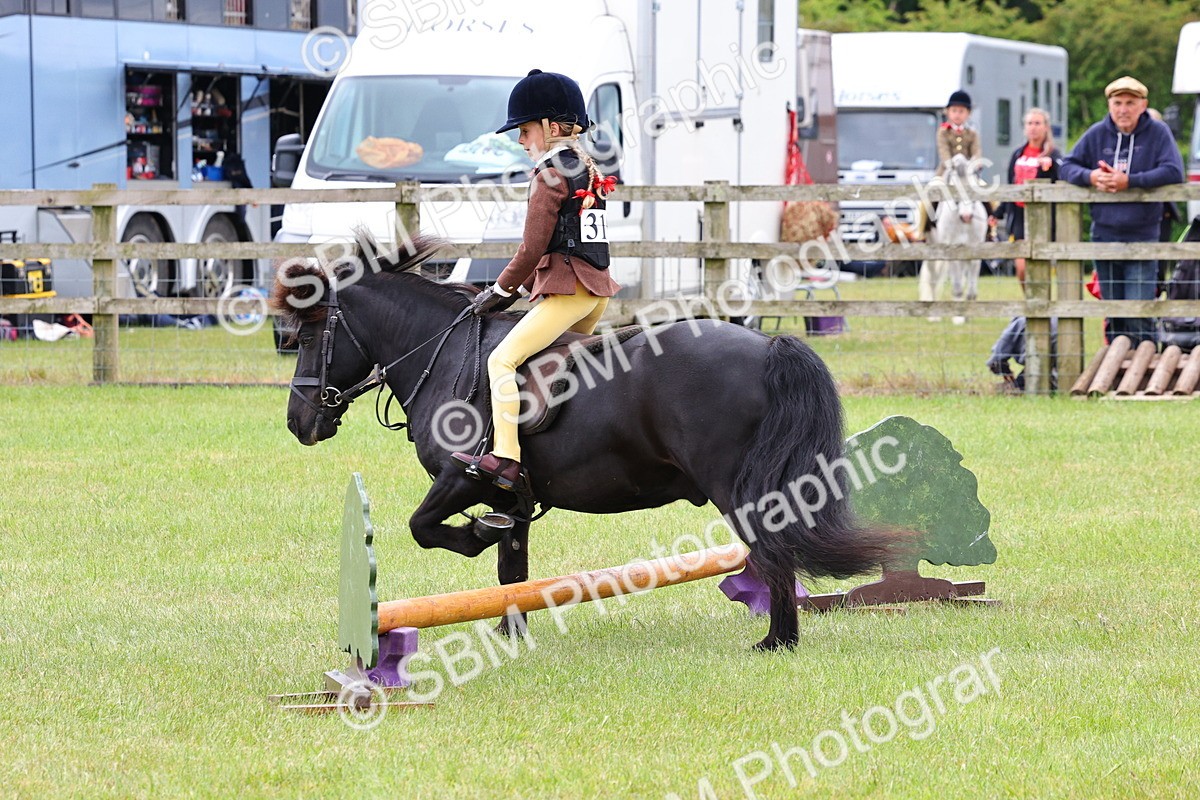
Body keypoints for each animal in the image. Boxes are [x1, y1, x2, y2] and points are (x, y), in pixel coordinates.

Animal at [273, 234, 906, 651]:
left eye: (305, 336)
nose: (300, 423)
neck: (443, 355)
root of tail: (767, 346)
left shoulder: (463, 478)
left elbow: (424, 528)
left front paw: (475, 537)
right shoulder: (514, 498)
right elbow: (512, 571)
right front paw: (511, 634)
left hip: (739, 489)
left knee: (774, 551)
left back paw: (777, 642)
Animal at [920, 154, 990, 323]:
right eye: (953, 187)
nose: (967, 216)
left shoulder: (975, 253)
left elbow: (971, 291)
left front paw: (968, 315)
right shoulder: (951, 254)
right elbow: (957, 288)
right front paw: (958, 318)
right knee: (933, 278)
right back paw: (934, 316)